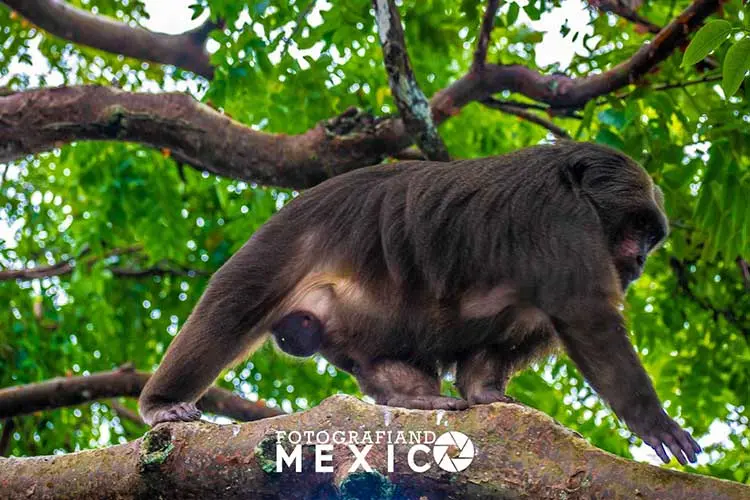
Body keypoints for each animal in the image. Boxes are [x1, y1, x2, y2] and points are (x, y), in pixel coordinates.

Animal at [139, 141, 701, 465]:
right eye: (636, 228)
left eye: (652, 237)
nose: (640, 260)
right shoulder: (562, 218)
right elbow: (584, 313)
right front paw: (653, 420)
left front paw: (483, 391)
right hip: (283, 246)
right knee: (231, 306)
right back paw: (162, 402)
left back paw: (410, 398)